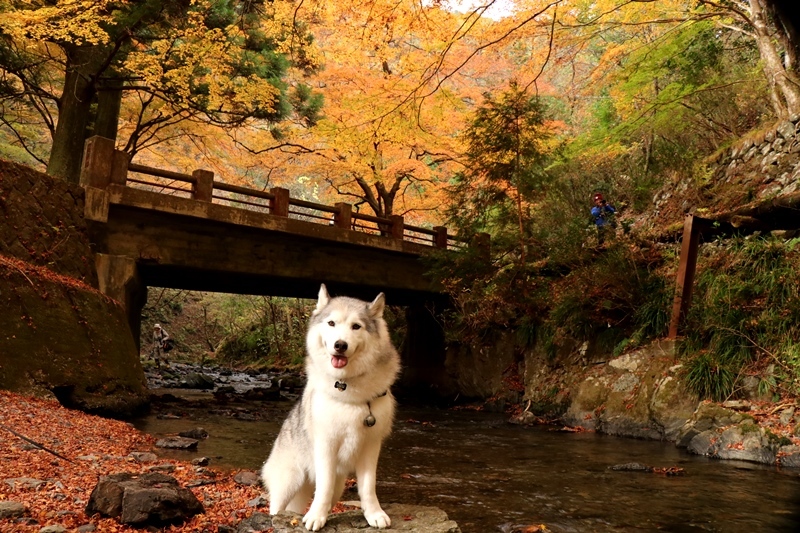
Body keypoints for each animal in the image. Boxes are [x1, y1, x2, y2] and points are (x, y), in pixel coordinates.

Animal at [262, 282, 400, 528]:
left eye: (356, 326)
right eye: (331, 323)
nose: (340, 345)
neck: (347, 389)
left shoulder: (371, 447)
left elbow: (368, 487)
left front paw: (373, 514)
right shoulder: (326, 446)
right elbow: (323, 487)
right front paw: (316, 517)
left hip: (336, 485)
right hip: (289, 481)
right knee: (277, 505)